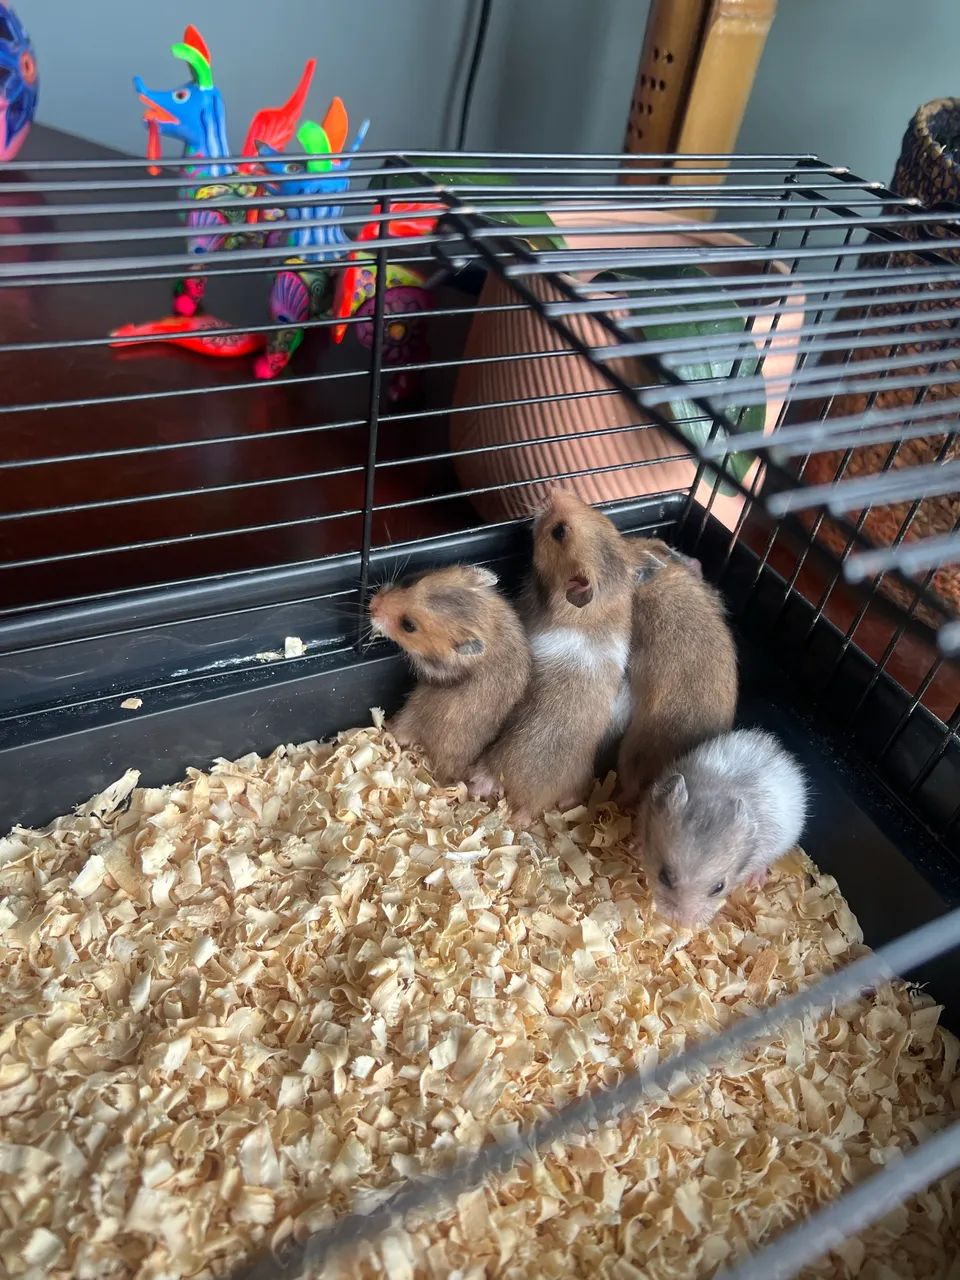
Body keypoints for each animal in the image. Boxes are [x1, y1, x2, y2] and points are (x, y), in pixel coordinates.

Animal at [468, 488, 634, 824]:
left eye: (559, 532)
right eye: (598, 514)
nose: (552, 491)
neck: (600, 607)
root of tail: (533, 804)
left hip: (495, 762)